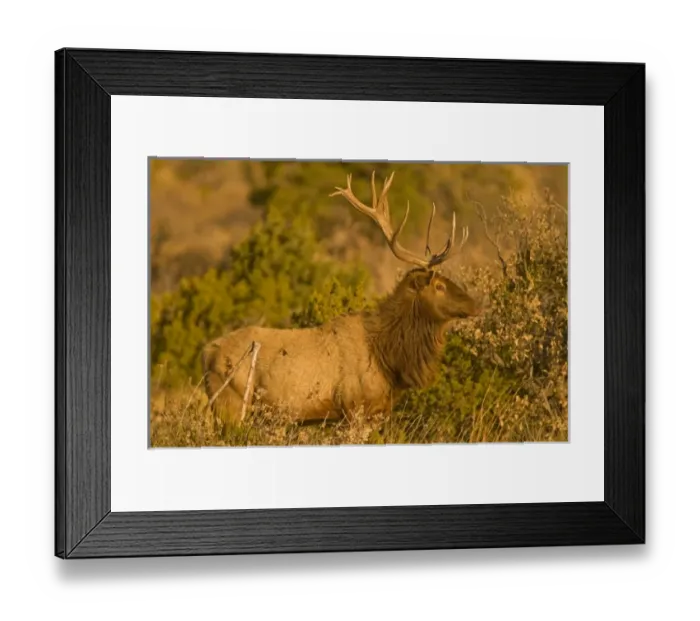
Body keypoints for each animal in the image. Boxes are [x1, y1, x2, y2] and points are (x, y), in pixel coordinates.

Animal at [201, 171, 483, 437]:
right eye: (439, 286)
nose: (476, 304)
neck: (389, 358)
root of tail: (206, 353)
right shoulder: (354, 408)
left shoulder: (376, 412)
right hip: (230, 404)